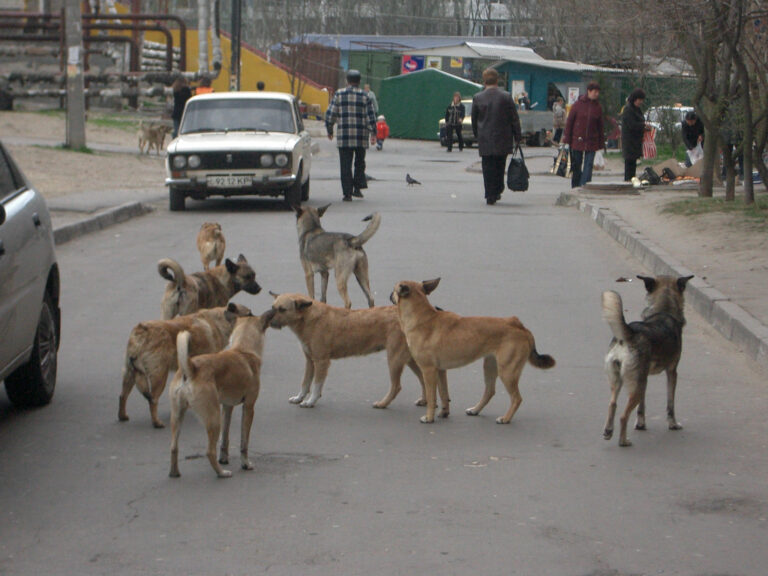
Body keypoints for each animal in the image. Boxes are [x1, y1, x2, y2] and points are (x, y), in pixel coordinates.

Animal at [118, 302, 252, 428]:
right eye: (249, 314)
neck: (221, 320)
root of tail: (141, 332)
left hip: (129, 374)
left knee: (123, 396)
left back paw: (122, 416)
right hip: (159, 377)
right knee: (153, 400)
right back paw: (156, 422)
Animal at [170, 308, 274, 480]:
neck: (243, 350)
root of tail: (190, 368)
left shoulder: (227, 407)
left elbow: (225, 439)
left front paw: (224, 458)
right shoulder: (249, 407)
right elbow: (244, 442)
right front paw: (245, 464)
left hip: (178, 416)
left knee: (173, 447)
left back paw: (174, 472)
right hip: (213, 418)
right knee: (209, 451)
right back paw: (221, 472)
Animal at [268, 292, 432, 410]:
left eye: (282, 309)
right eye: (273, 307)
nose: (268, 322)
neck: (309, 318)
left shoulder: (321, 361)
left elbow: (316, 385)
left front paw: (310, 401)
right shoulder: (310, 361)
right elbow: (305, 383)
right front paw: (299, 398)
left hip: (394, 359)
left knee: (396, 386)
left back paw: (382, 403)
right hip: (409, 360)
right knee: (423, 379)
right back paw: (425, 401)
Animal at [392, 278, 556, 424]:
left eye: (394, 289)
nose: (389, 294)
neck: (422, 317)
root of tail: (520, 326)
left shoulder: (428, 370)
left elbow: (432, 398)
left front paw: (429, 417)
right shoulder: (440, 371)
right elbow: (444, 394)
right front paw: (444, 412)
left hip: (507, 372)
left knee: (517, 398)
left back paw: (506, 418)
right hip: (490, 366)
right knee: (490, 391)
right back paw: (476, 410)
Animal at [600, 274, 696, 446]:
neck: (664, 311)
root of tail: (630, 334)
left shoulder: (644, 378)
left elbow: (641, 407)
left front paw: (640, 424)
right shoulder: (672, 372)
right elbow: (670, 404)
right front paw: (673, 424)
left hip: (623, 381)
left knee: (612, 404)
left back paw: (608, 431)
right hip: (637, 386)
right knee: (623, 416)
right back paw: (623, 441)